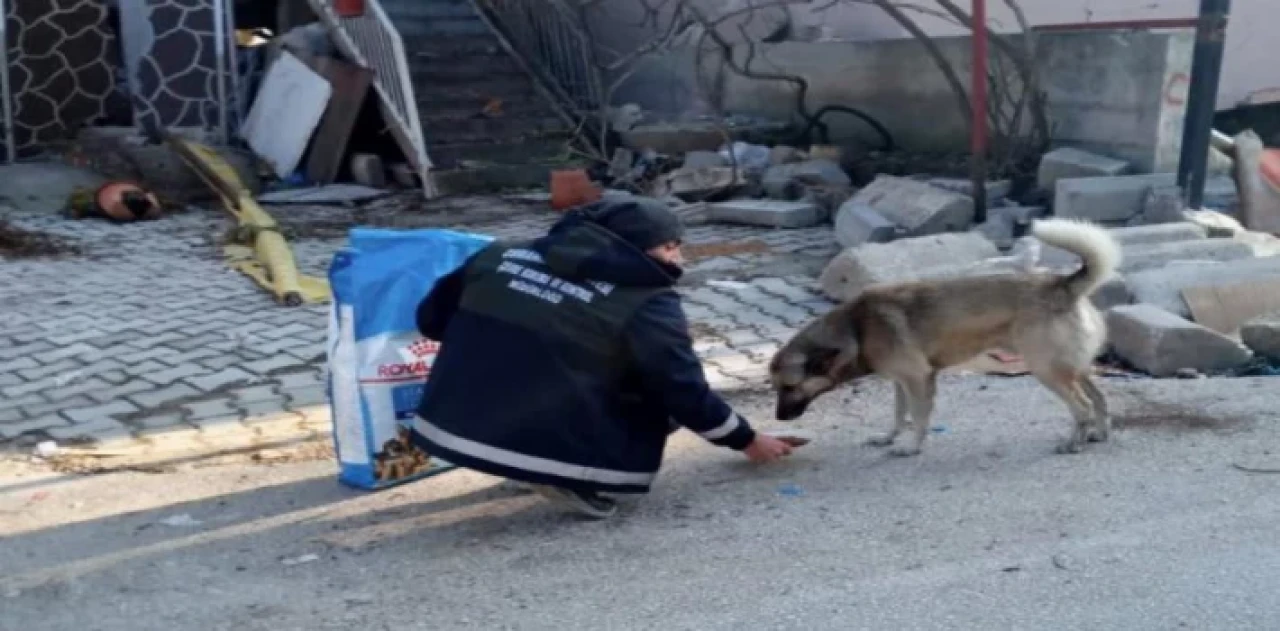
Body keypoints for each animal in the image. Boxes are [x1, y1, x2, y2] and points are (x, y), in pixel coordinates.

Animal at [768, 218, 1121, 455]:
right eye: (776, 388)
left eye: (790, 387)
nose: (778, 418)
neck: (856, 328)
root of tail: (1063, 285)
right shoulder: (901, 382)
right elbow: (899, 415)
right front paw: (888, 438)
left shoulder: (917, 379)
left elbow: (918, 417)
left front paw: (911, 448)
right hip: (1071, 367)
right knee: (1099, 399)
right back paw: (1099, 434)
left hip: (1047, 370)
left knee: (1082, 406)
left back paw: (1073, 443)